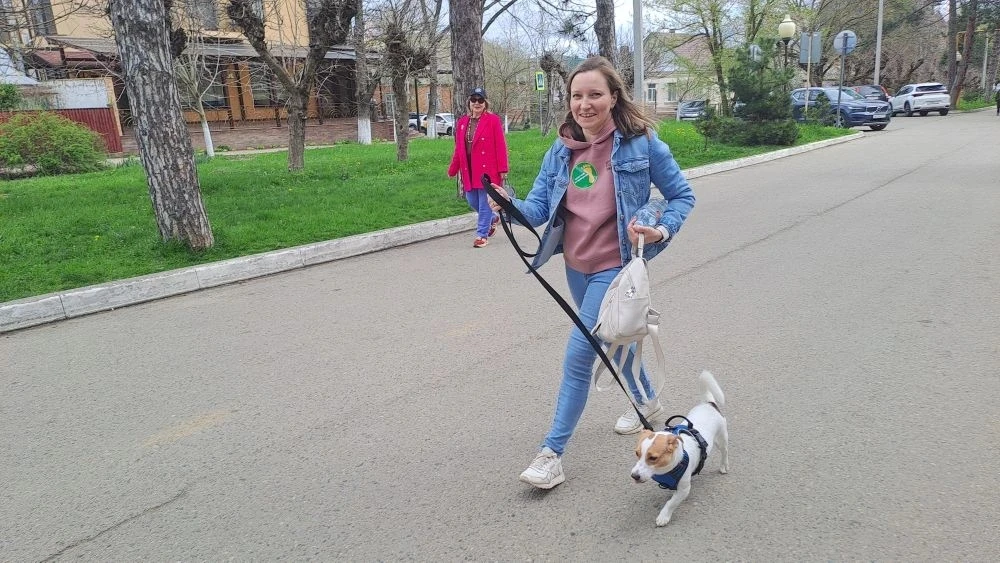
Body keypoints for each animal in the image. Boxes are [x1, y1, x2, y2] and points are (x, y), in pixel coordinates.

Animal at [630, 370, 729, 527]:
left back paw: (724, 466)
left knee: (725, 452)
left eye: (653, 458)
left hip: (721, 438)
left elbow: (671, 503)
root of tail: (709, 404)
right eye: (637, 453)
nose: (634, 476)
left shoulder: (684, 489)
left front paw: (664, 516)